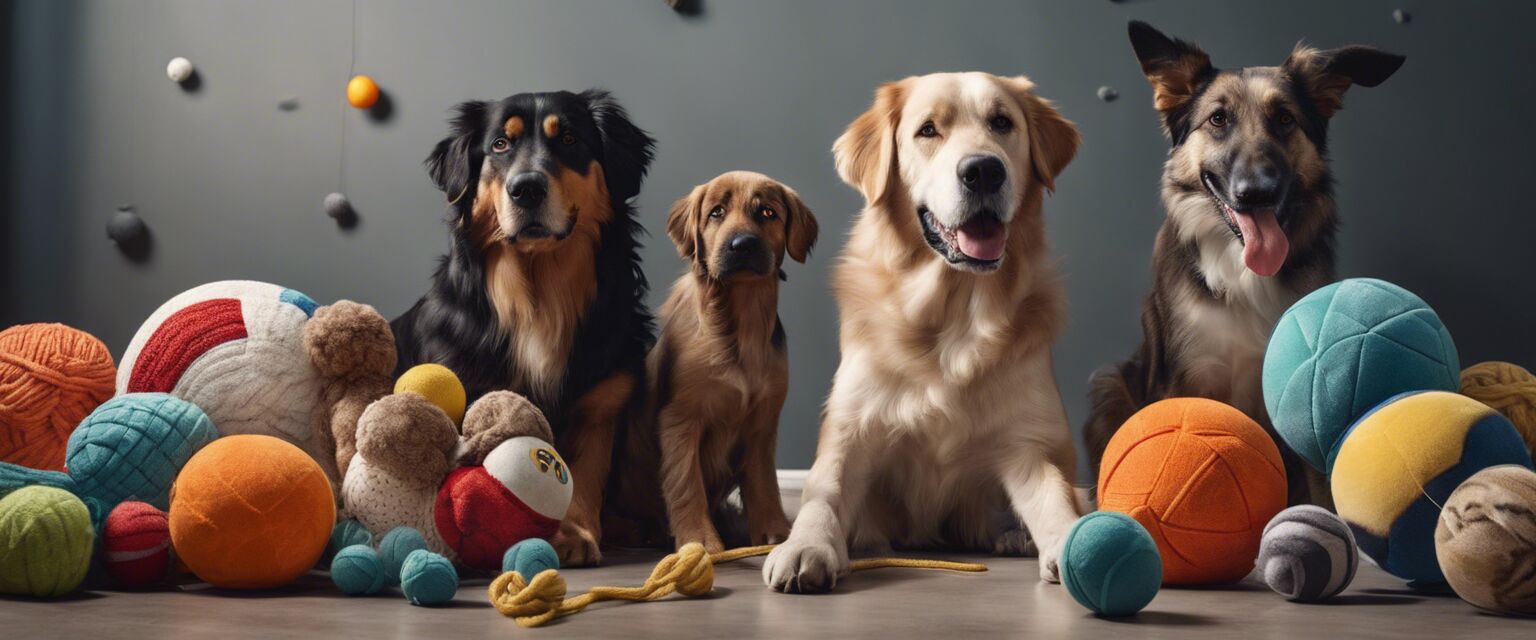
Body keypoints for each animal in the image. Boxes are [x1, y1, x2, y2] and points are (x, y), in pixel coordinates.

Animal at [390, 90, 654, 564]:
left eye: (569, 138)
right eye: (500, 145)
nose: (526, 188)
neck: (540, 296)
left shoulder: (603, 404)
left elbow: (585, 471)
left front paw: (573, 533)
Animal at [617, 171, 823, 552]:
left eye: (767, 213)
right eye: (716, 213)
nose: (742, 245)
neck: (739, 328)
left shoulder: (763, 422)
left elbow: (764, 482)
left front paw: (774, 533)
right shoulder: (680, 420)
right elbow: (686, 484)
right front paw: (700, 540)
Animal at [1081, 23, 1406, 503]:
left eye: (1285, 119)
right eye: (1218, 120)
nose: (1257, 193)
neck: (1245, 269)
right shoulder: (1187, 378)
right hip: (1109, 386)